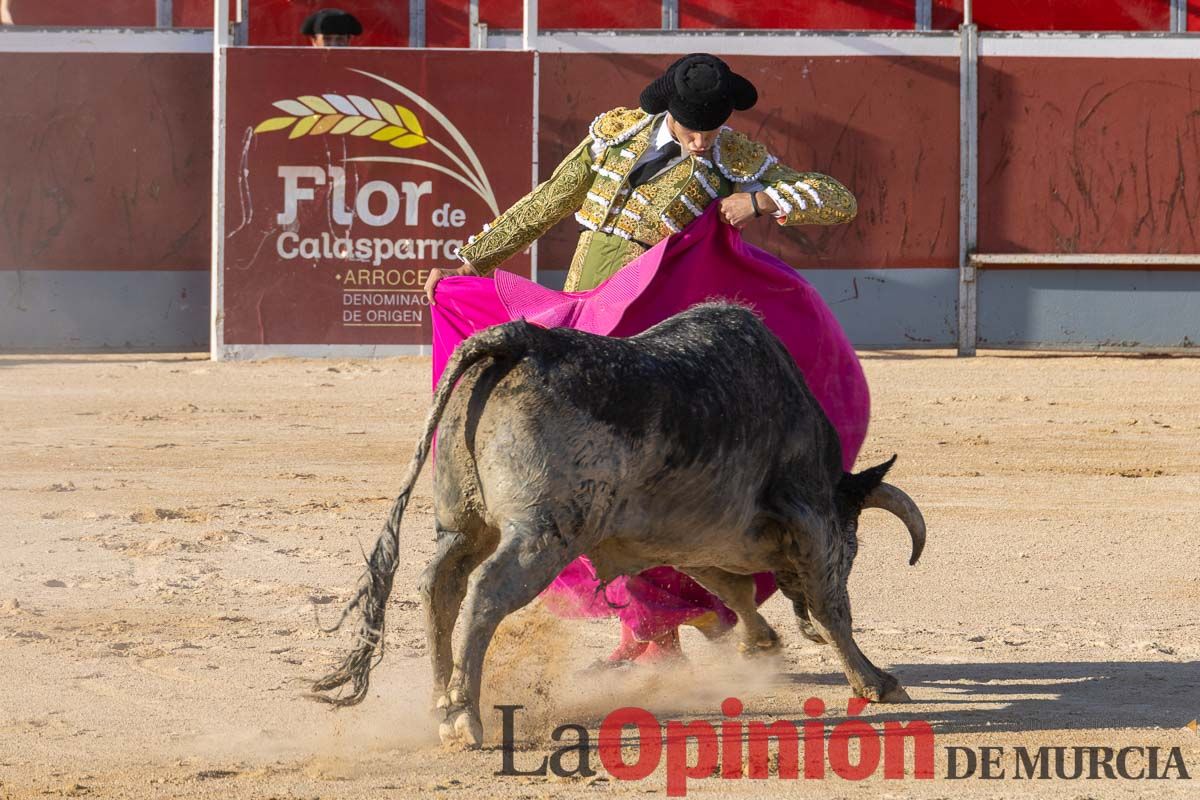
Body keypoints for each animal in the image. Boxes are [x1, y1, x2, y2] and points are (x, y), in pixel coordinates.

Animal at [309, 303, 926, 748]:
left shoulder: (692, 536)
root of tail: (519, 339)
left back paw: (441, 706)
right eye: (854, 545)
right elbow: (830, 605)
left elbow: (729, 587)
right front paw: (876, 682)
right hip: (544, 533)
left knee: (440, 585)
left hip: (459, 523)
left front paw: (761, 643)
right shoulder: (813, 518)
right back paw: (467, 718)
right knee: (485, 592)